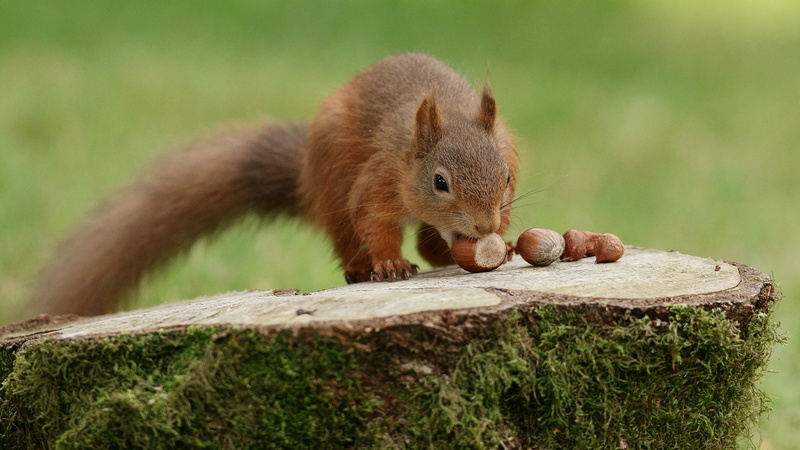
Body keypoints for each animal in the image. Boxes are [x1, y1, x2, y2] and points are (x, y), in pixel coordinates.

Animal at [29, 53, 519, 316]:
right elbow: (372, 219)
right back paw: (360, 267)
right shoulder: (378, 179)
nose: (484, 227)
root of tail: (306, 174)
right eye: (439, 182)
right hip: (332, 174)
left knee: (428, 243)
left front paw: (507, 243)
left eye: (508, 177)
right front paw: (389, 264)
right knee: (345, 230)